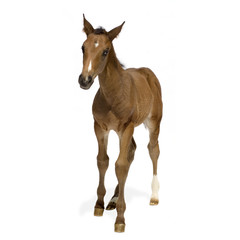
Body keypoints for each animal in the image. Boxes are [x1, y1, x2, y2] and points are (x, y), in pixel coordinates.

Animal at [79, 15, 163, 232]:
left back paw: (154, 196)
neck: (113, 94)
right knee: (131, 150)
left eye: (105, 51)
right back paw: (114, 199)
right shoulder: (100, 127)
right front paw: (100, 204)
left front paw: (120, 219)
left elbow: (121, 165)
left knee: (153, 150)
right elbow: (104, 161)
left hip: (153, 122)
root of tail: (148, 73)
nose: (84, 80)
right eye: (83, 47)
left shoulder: (127, 127)